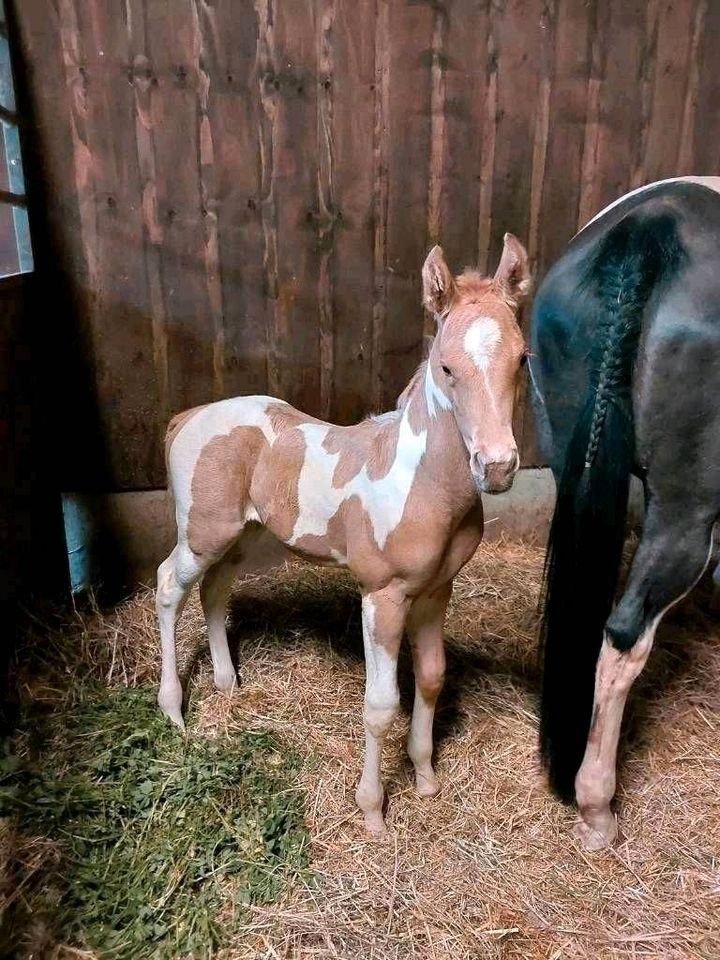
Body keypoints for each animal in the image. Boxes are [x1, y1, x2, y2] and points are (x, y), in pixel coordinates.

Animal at [158, 238, 528, 832]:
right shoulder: (383, 595)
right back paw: (173, 708)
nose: (495, 467)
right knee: (170, 586)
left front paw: (426, 778)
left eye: (522, 359)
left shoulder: (436, 591)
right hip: (202, 535)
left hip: (243, 537)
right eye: (447, 367)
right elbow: (381, 705)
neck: (418, 479)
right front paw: (373, 811)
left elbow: (431, 677)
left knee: (214, 591)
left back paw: (227, 684)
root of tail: (188, 417)